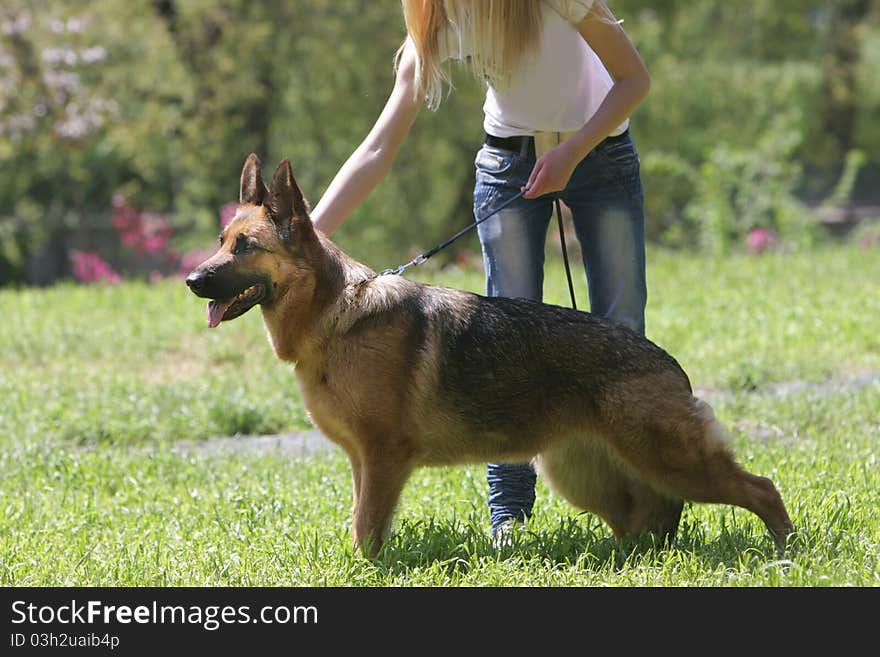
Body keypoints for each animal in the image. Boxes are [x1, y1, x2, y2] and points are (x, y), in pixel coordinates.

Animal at [187, 155, 796, 552]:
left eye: (245, 247)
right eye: (221, 241)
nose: (191, 279)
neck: (337, 314)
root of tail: (670, 365)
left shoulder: (383, 458)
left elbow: (366, 529)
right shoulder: (364, 463)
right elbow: (362, 521)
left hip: (671, 461)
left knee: (761, 489)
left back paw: (787, 550)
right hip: (581, 473)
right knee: (648, 518)